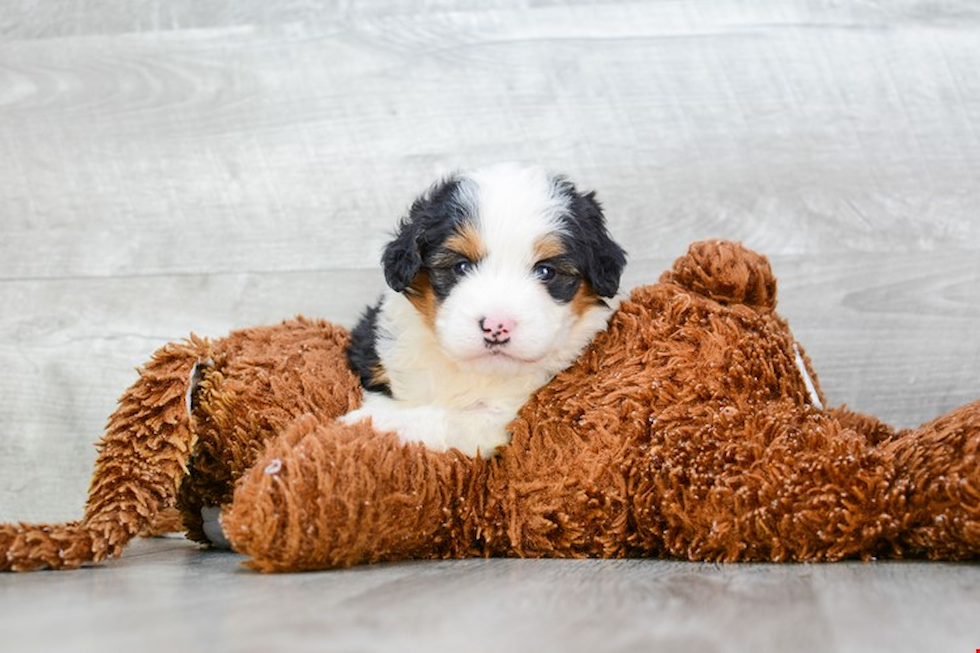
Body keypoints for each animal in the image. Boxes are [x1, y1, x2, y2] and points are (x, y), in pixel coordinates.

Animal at [340, 164, 624, 458]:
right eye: (461, 266)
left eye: (546, 271)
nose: (497, 326)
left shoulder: (499, 420)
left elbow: (442, 420)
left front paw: (371, 423)